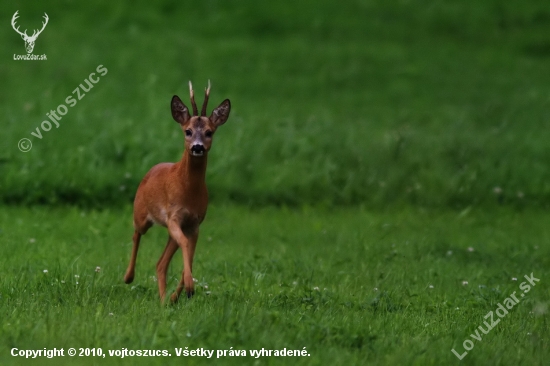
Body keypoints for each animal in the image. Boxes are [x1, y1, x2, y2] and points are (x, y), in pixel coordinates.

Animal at [124, 81, 231, 302]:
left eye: (209, 132)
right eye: (187, 131)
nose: (197, 147)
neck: (188, 191)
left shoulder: (194, 223)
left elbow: (190, 252)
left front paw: (186, 289)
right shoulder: (173, 216)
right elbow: (185, 244)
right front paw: (189, 285)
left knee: (160, 262)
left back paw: (166, 299)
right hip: (141, 213)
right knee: (136, 234)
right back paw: (129, 277)